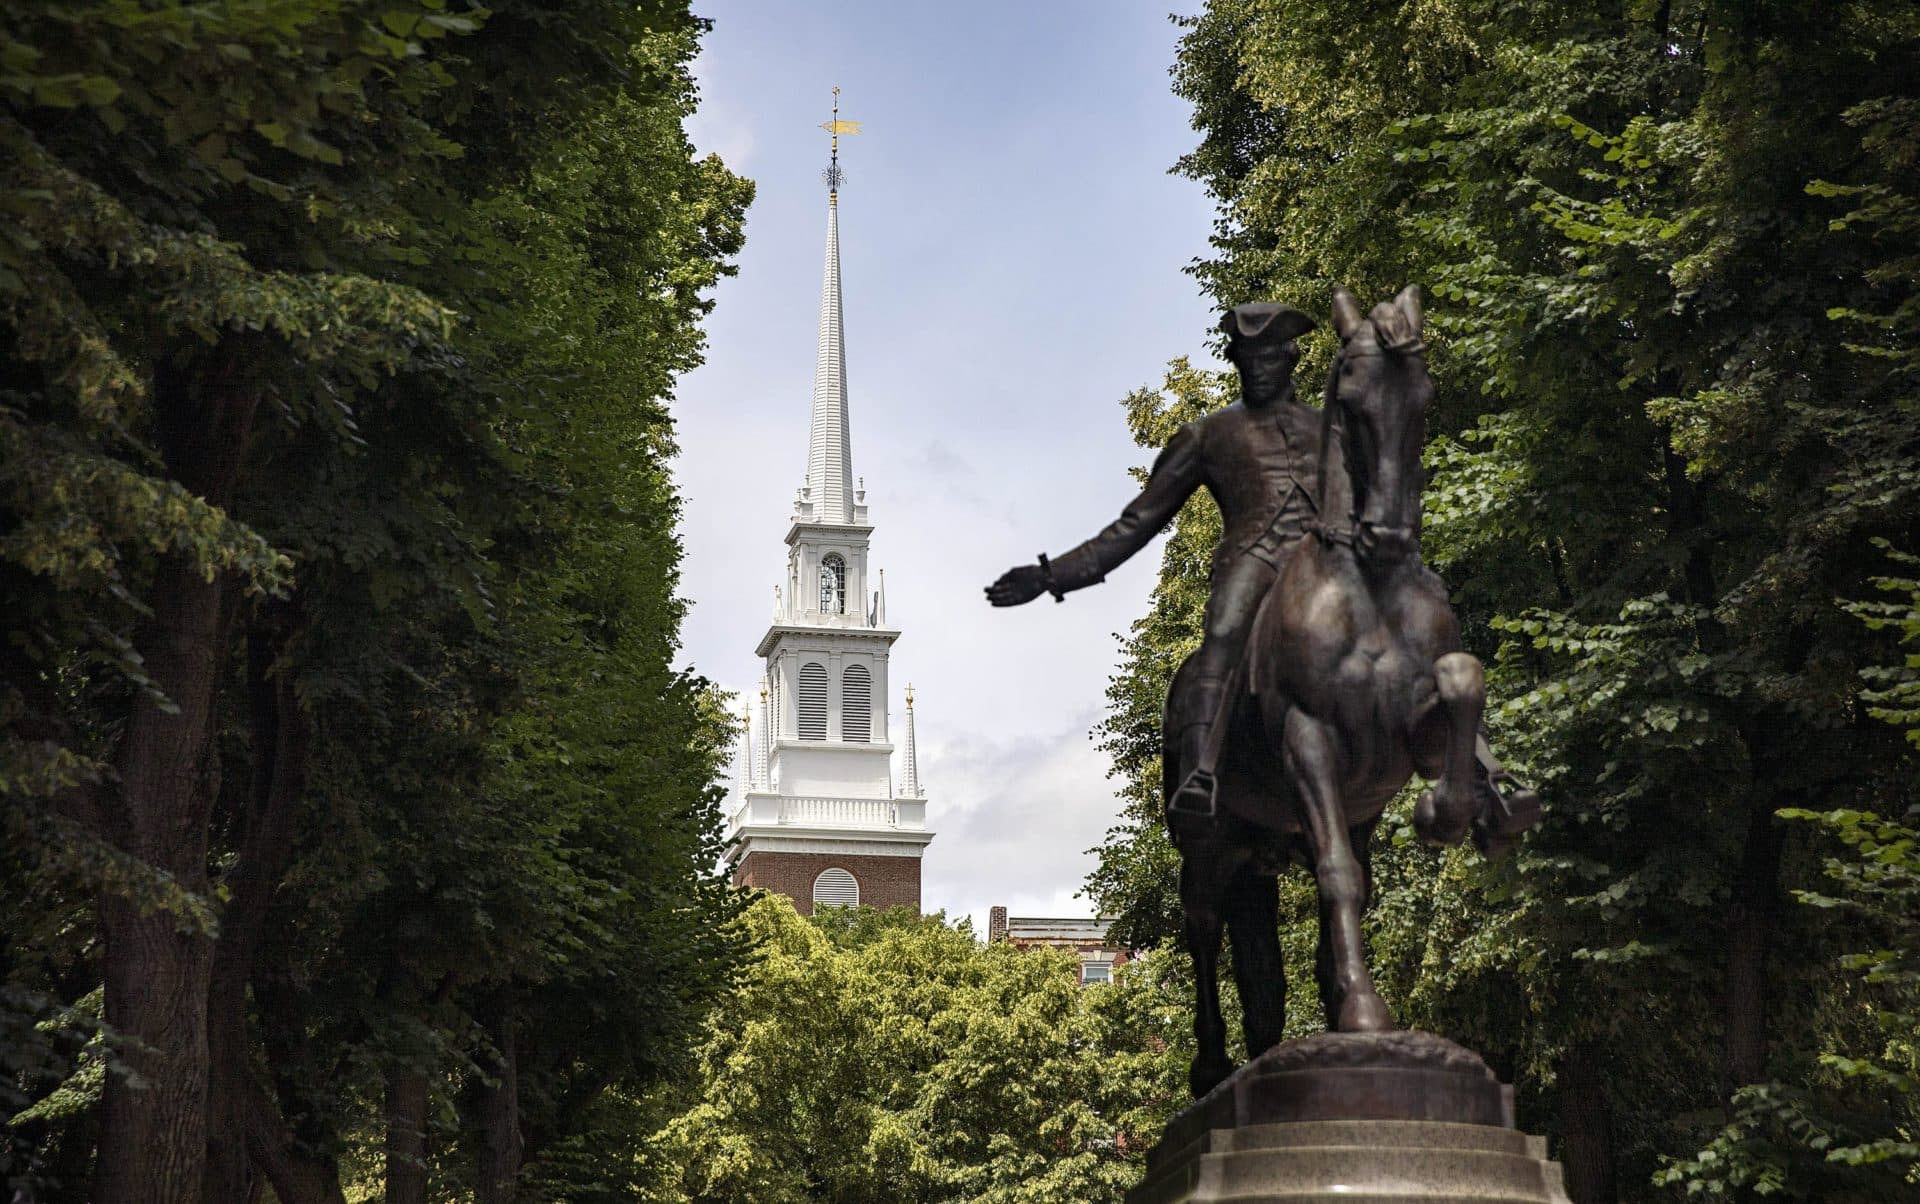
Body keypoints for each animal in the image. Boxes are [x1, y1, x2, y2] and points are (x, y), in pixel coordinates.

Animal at [1159, 288, 1505, 1098]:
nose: (1386, 534)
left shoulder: (1399, 747)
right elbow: (1339, 876)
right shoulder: (1307, 737)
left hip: (1263, 851)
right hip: (1207, 847)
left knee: (1266, 968)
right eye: (1350, 397)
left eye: (1424, 395)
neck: (1368, 590)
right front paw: (1367, 1014)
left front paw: (1451, 811)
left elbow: (1461, 680)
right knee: (1203, 930)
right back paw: (1213, 1065)